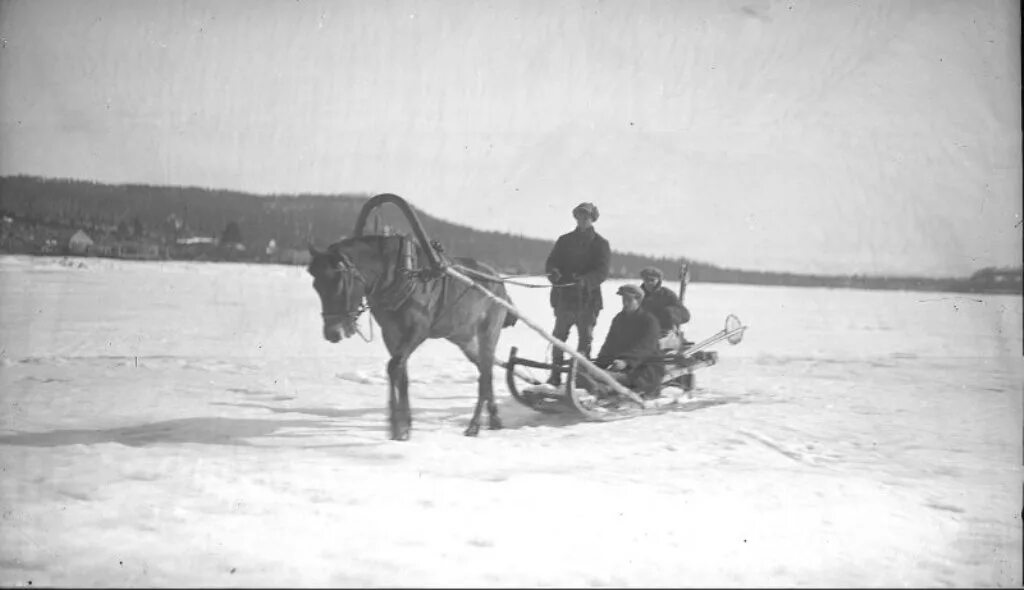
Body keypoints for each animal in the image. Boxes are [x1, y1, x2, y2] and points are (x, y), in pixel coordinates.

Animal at [301, 232, 512, 440]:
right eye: (316, 285)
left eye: (339, 282)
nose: (332, 333)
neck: (397, 274)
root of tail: (499, 281)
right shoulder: (390, 332)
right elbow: (401, 372)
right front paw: (405, 424)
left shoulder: (417, 330)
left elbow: (394, 366)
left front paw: (396, 426)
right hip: (464, 337)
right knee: (485, 369)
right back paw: (494, 418)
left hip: (488, 331)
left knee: (485, 373)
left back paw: (474, 425)